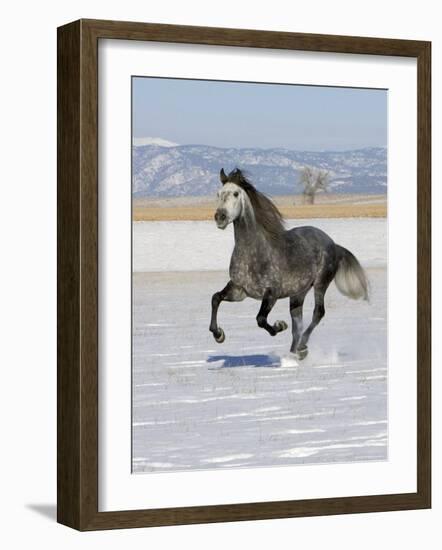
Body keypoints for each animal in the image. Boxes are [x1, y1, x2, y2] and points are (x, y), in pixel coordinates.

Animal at [209, 168, 368, 360]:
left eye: (235, 193)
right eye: (218, 194)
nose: (220, 217)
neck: (253, 254)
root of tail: (332, 243)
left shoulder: (272, 293)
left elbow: (260, 319)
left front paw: (279, 326)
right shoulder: (239, 290)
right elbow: (215, 298)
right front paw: (219, 335)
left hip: (320, 284)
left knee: (317, 313)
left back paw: (302, 347)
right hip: (298, 293)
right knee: (297, 324)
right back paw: (294, 354)